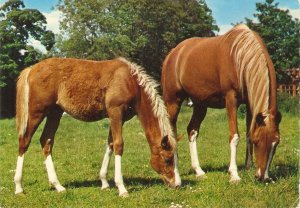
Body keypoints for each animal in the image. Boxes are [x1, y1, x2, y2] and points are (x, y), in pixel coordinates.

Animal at [14, 57, 180, 197]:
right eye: (167, 159)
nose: (177, 184)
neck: (129, 81)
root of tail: (32, 69)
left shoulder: (118, 118)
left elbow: (110, 144)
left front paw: (105, 183)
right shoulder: (115, 113)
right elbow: (119, 145)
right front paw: (122, 188)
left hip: (55, 113)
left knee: (46, 141)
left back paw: (58, 186)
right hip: (37, 112)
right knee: (24, 141)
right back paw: (18, 187)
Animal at [162, 24, 282, 183]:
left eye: (276, 142)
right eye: (258, 141)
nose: (263, 177)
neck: (240, 56)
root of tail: (172, 54)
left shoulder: (250, 105)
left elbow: (248, 133)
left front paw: (247, 167)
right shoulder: (231, 99)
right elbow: (235, 136)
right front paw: (234, 174)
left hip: (200, 105)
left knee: (192, 131)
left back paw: (198, 171)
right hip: (173, 101)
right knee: (172, 133)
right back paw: (175, 169)